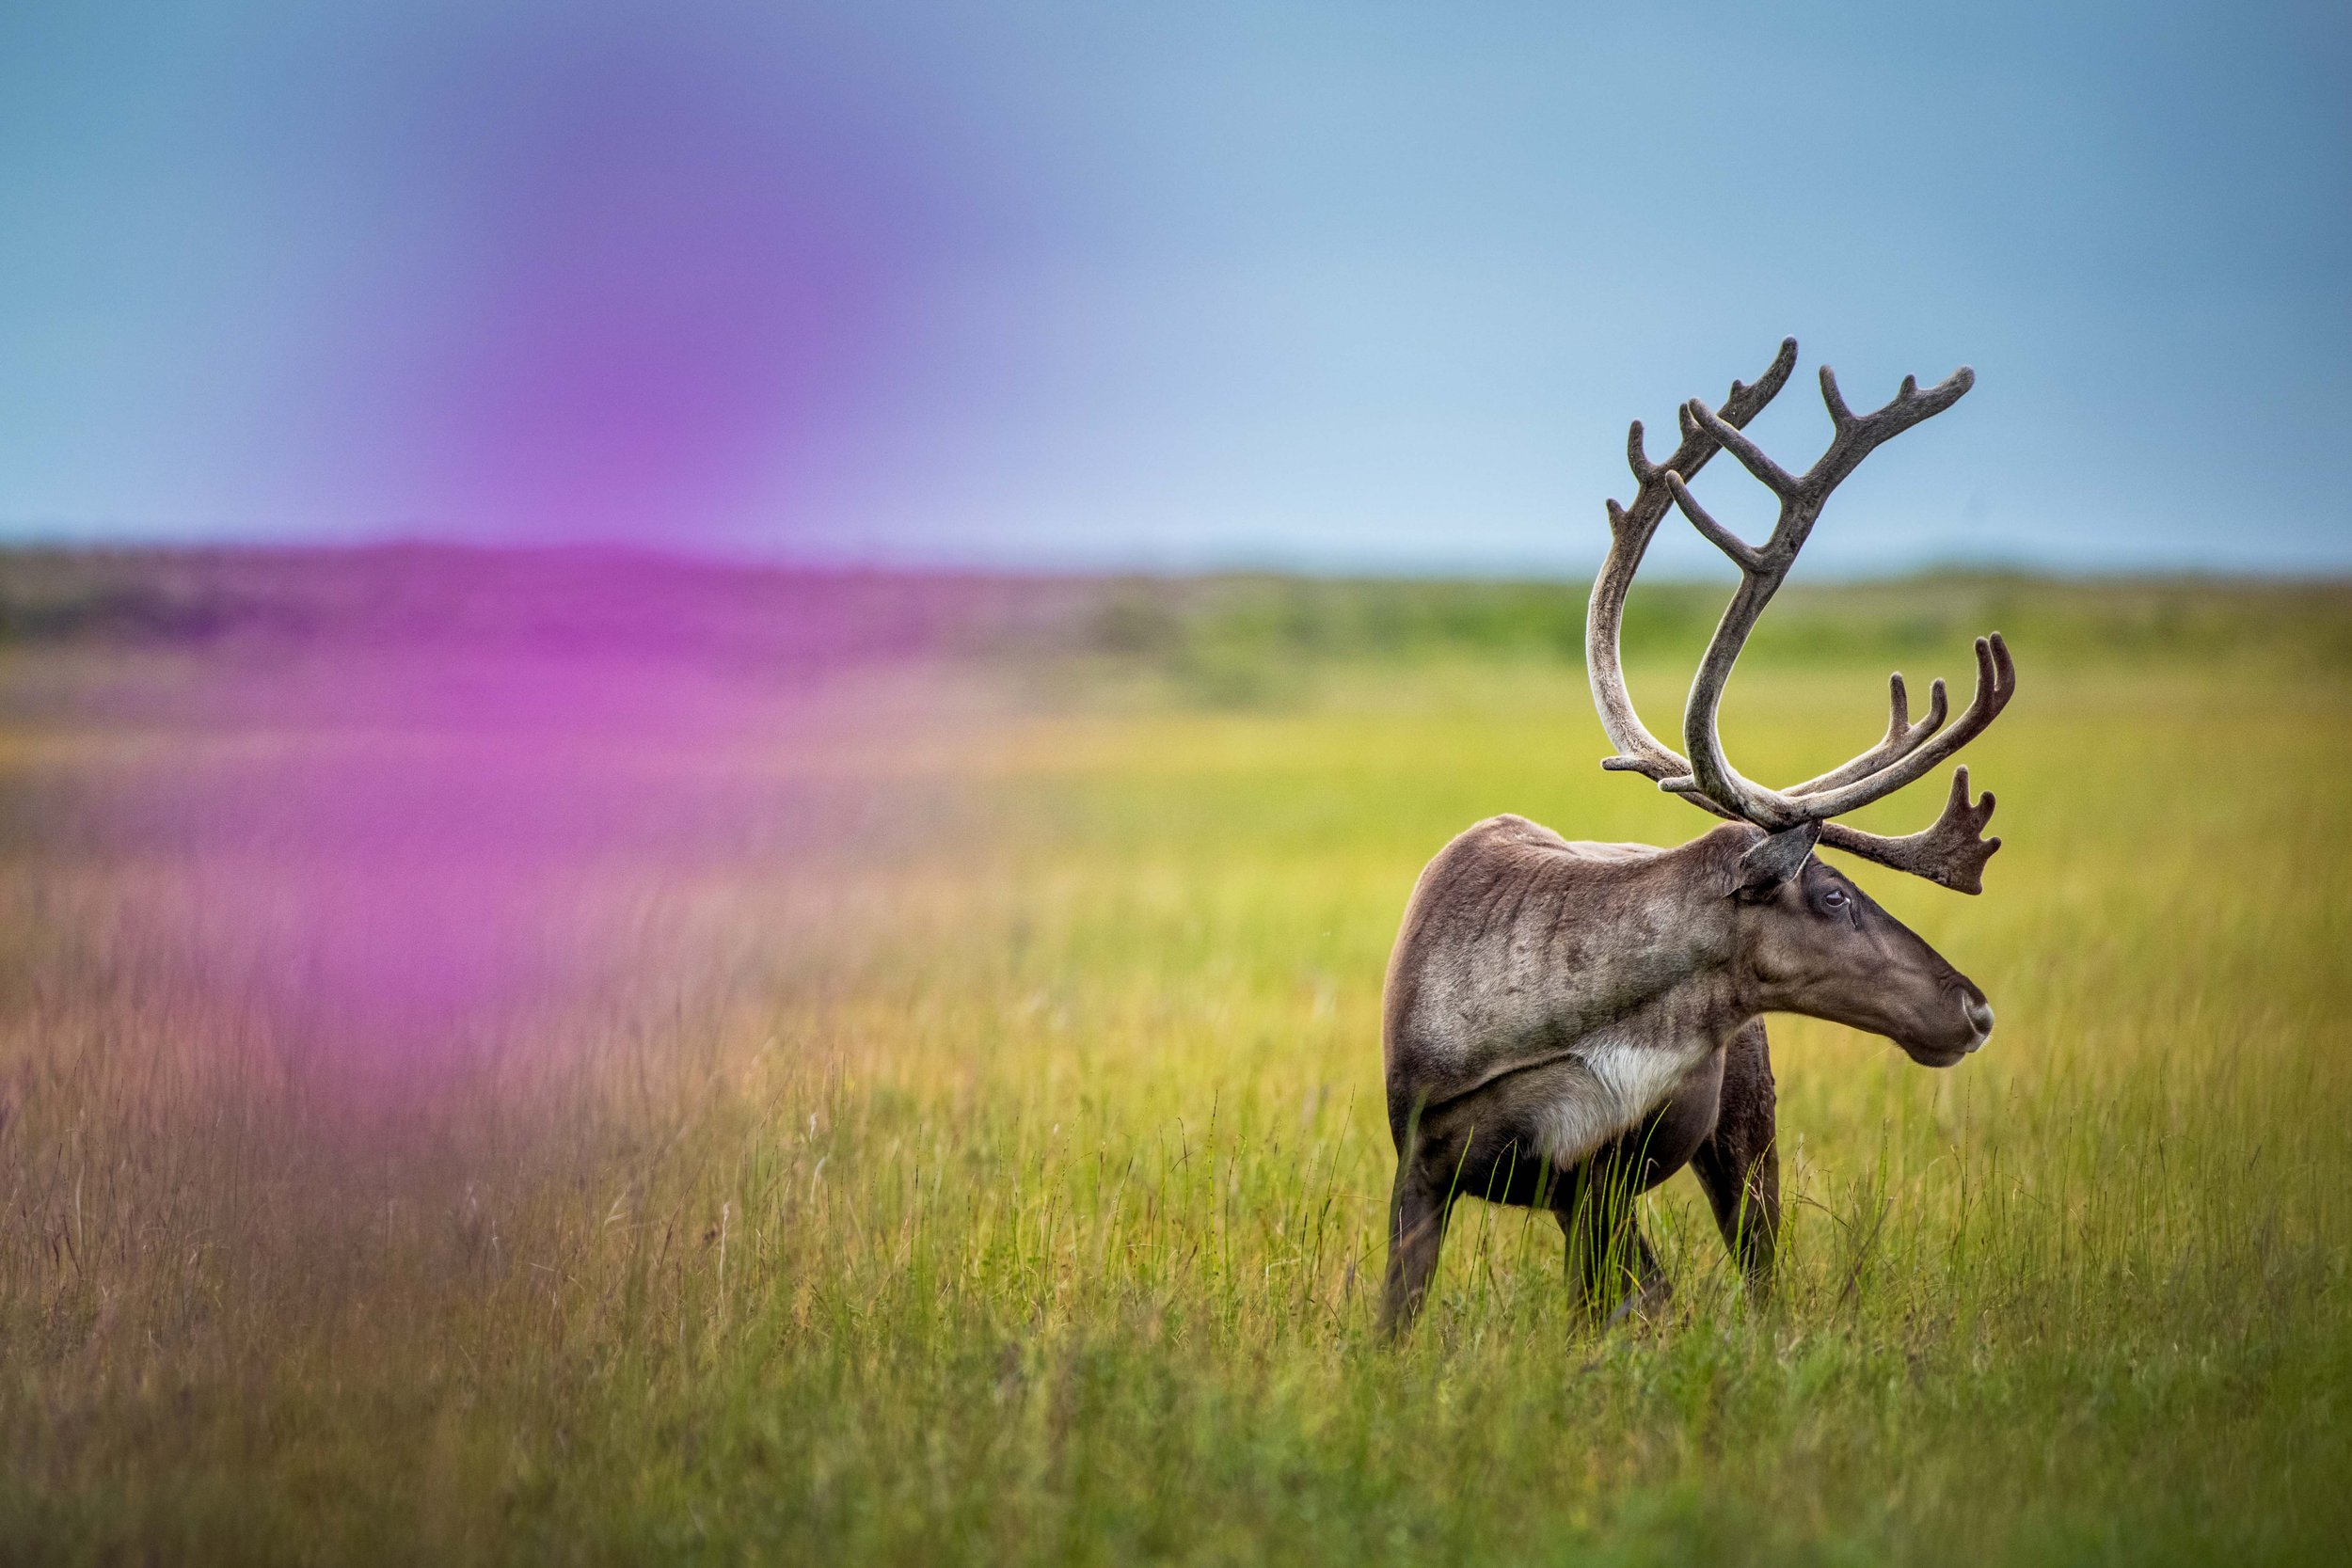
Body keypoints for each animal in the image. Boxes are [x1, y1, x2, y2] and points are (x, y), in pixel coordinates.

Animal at [1379, 338, 2014, 1336]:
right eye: (1833, 893)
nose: (1975, 1009)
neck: (1543, 1032)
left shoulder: (1595, 1175)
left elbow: (1609, 1314)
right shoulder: (1423, 1163)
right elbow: (1393, 1326)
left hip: (1744, 1135)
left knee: (1750, 1275)